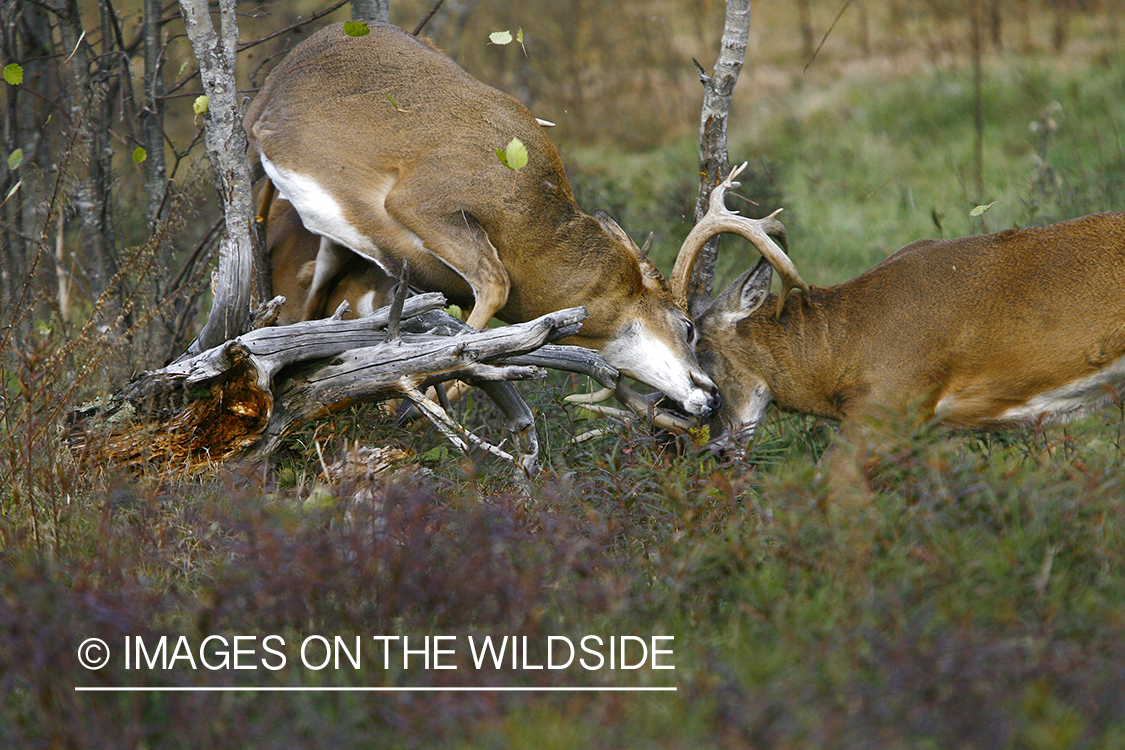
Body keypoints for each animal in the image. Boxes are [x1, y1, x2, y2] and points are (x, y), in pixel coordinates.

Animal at [246, 20, 720, 416]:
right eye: (688, 327)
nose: (713, 395)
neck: (534, 232)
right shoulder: (421, 200)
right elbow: (493, 287)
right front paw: (412, 385)